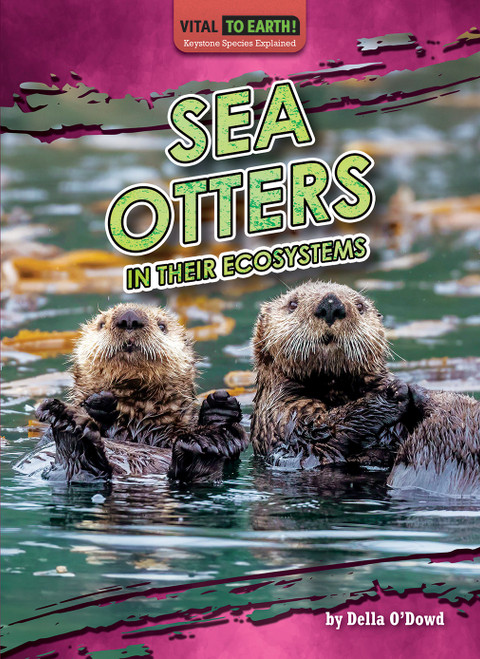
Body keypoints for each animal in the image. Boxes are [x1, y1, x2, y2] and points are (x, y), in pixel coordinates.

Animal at [15, 303, 248, 484]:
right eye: (101, 324)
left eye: (162, 326)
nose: (129, 318)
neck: (137, 424)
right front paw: (99, 405)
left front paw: (221, 409)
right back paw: (68, 424)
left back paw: (206, 443)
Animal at [251, 280, 480, 496]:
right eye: (292, 304)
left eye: (360, 306)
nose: (331, 304)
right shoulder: (284, 420)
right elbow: (321, 432)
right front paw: (395, 393)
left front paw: (406, 390)